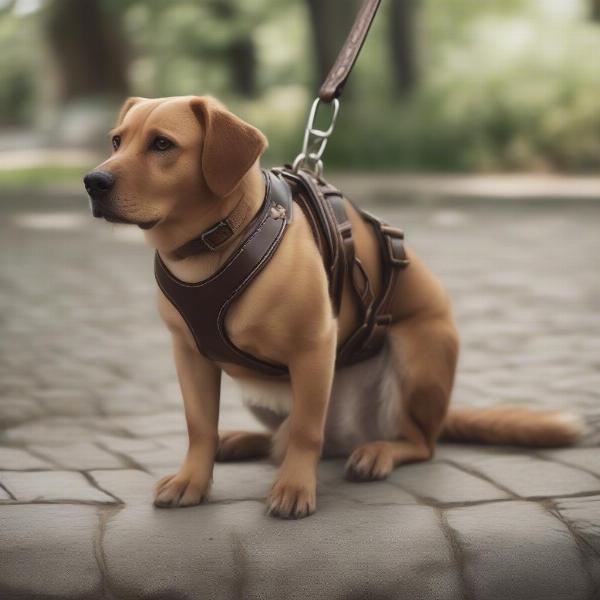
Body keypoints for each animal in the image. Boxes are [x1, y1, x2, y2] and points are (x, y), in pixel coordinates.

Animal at [83, 96, 580, 516]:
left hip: (417, 358)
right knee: (277, 439)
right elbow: (198, 426)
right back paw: (242, 439)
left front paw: (295, 487)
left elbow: (307, 430)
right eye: (116, 141)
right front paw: (193, 480)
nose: (92, 181)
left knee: (416, 442)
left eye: (162, 144)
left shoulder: (313, 347)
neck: (215, 242)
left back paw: (378, 451)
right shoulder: (190, 355)